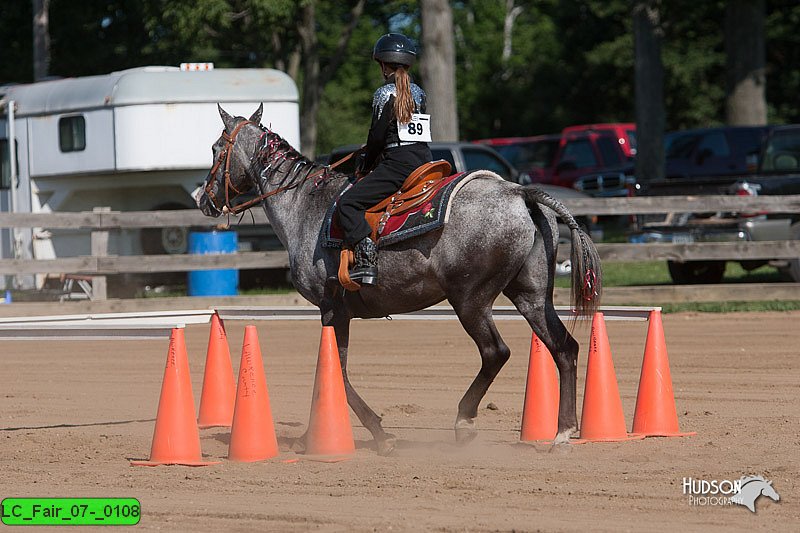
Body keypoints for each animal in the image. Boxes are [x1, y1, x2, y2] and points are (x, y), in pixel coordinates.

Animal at [197, 104, 604, 454]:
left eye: (216, 148)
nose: (203, 197)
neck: (305, 206)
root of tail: (520, 193)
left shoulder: (331, 308)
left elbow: (333, 371)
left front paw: (371, 434)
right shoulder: (338, 312)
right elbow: (332, 370)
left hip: (470, 300)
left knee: (496, 352)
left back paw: (464, 422)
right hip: (530, 296)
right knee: (564, 348)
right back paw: (562, 433)